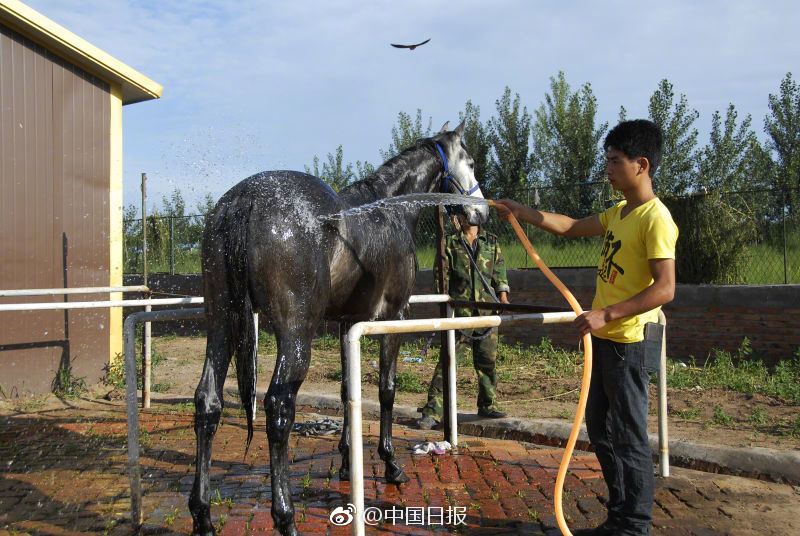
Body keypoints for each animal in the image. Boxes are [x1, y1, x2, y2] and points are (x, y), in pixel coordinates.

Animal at [189, 121, 488, 536]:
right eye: (471, 162)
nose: (480, 212)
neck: (389, 208)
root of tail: (244, 202)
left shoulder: (349, 322)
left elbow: (349, 392)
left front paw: (348, 463)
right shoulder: (392, 318)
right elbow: (385, 391)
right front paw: (391, 465)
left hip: (221, 325)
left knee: (208, 403)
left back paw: (202, 515)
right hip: (295, 337)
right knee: (278, 409)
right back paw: (285, 517)